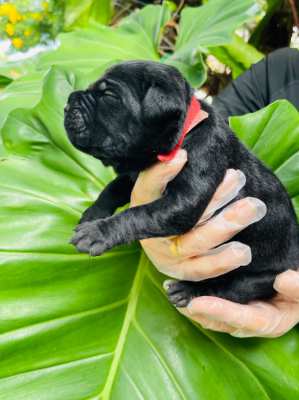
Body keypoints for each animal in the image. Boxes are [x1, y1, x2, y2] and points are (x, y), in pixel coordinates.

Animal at [63, 60, 299, 306]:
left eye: (109, 95)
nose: (68, 102)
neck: (183, 133)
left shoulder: (187, 193)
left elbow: (140, 213)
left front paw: (97, 233)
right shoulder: (135, 175)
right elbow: (112, 190)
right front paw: (93, 214)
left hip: (263, 276)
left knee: (231, 288)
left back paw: (189, 290)